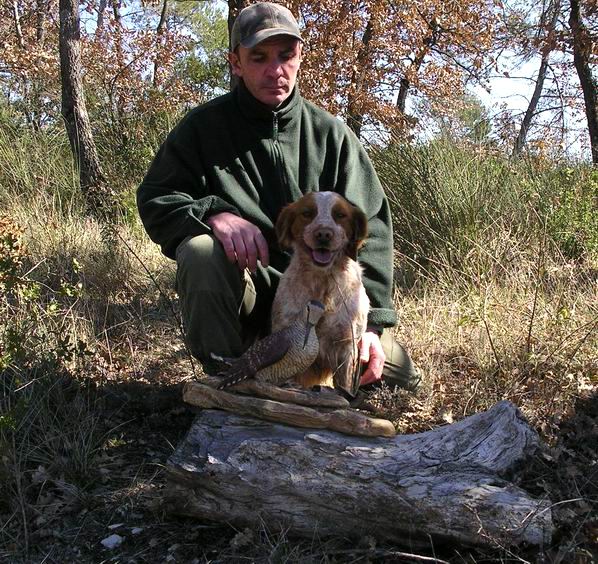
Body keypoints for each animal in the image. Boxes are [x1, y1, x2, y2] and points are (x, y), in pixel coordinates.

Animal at [272, 192, 370, 394]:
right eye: (307, 213)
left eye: (340, 215)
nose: (324, 234)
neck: (322, 283)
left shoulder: (346, 344)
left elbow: (344, 383)